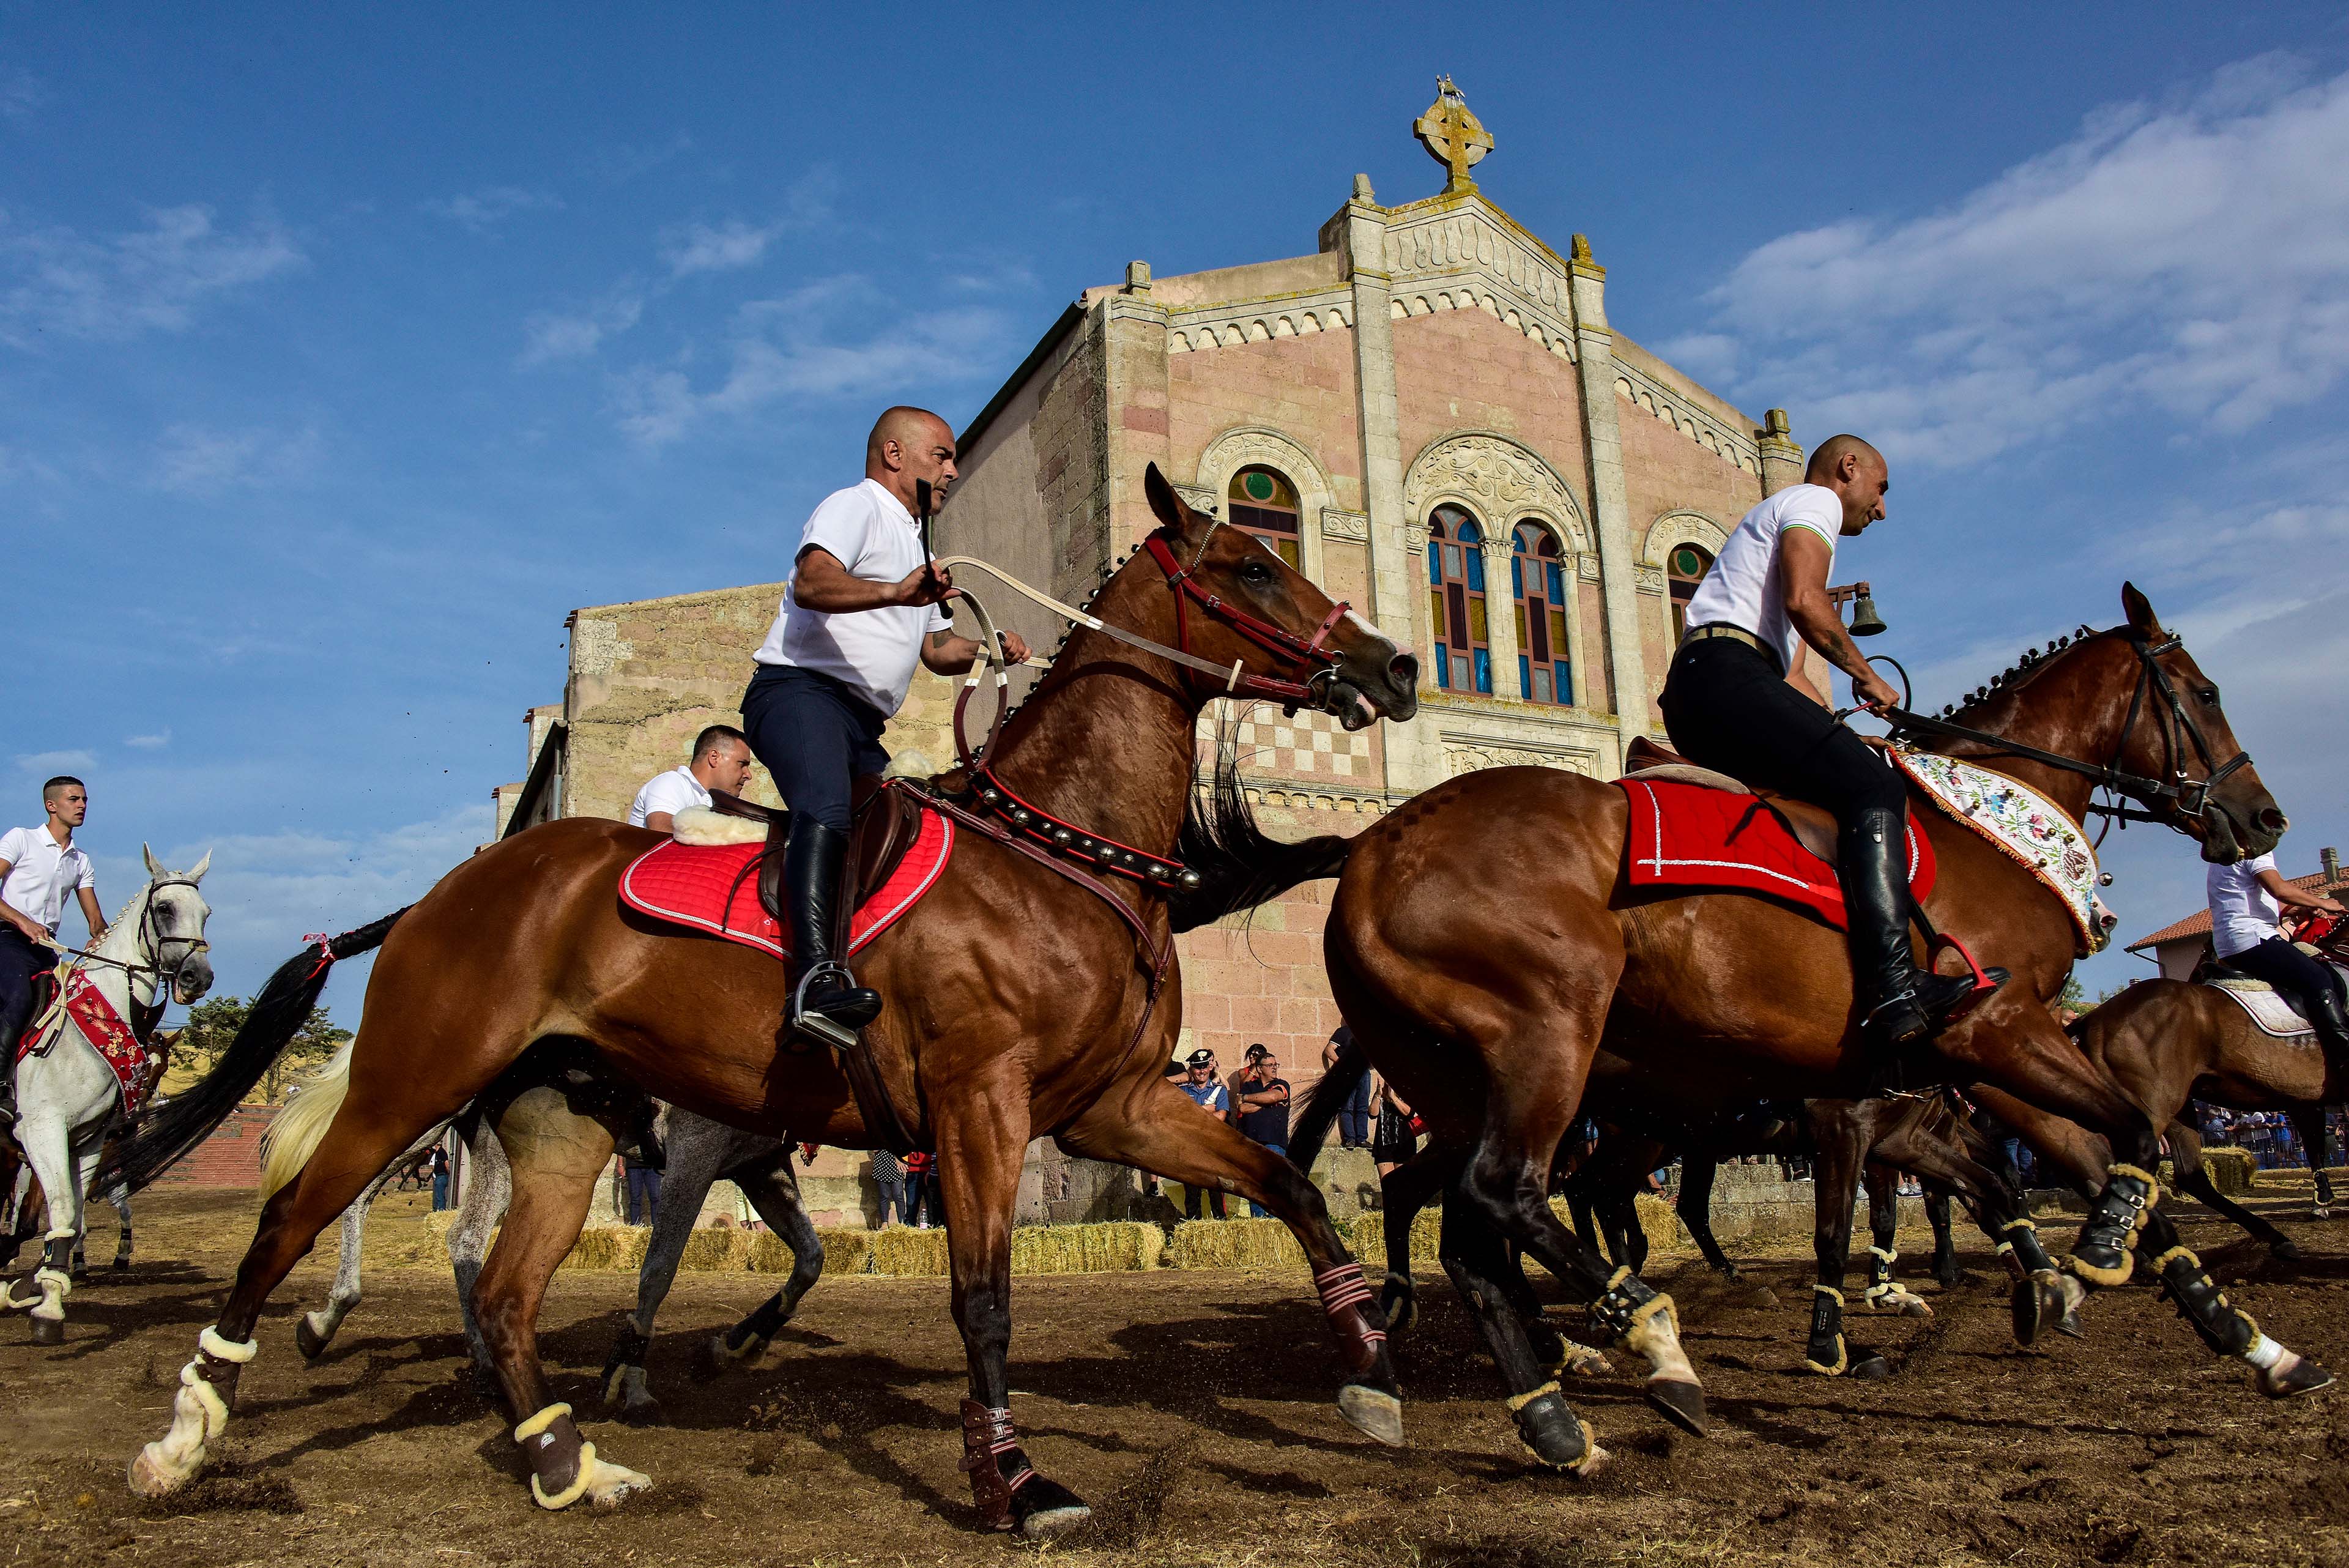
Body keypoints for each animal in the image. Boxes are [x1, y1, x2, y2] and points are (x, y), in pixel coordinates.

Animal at [0, 851, 213, 1344]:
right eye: (164, 909)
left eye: (206, 913)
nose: (199, 977)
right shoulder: (41, 1132)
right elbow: (57, 1208)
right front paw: (42, 1300)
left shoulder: (87, 1140)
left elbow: (72, 1217)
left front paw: (48, 1295)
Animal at [110, 463, 1409, 1533]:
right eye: (1252, 560)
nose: (1392, 667)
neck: (1060, 846)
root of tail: (443, 892)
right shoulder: (979, 1106)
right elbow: (983, 1300)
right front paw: (1014, 1478)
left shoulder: (1111, 1106)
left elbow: (1293, 1185)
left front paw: (1369, 1362)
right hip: (412, 1082)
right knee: (293, 1224)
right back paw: (186, 1434)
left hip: (558, 1123)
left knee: (510, 1287)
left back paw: (566, 1462)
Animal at [1315, 585, 2320, 1476]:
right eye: (2204, 693)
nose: (2264, 815)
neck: (1986, 831)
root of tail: (1369, 851)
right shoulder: (1984, 1033)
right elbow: (2119, 1143)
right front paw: (2087, 1261)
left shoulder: (1980, 1062)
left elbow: (2086, 1157)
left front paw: (2243, 1337)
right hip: (1549, 1047)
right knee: (1506, 1195)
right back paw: (1647, 1337)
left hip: (1467, 1085)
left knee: (1468, 1232)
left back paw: (1550, 1415)